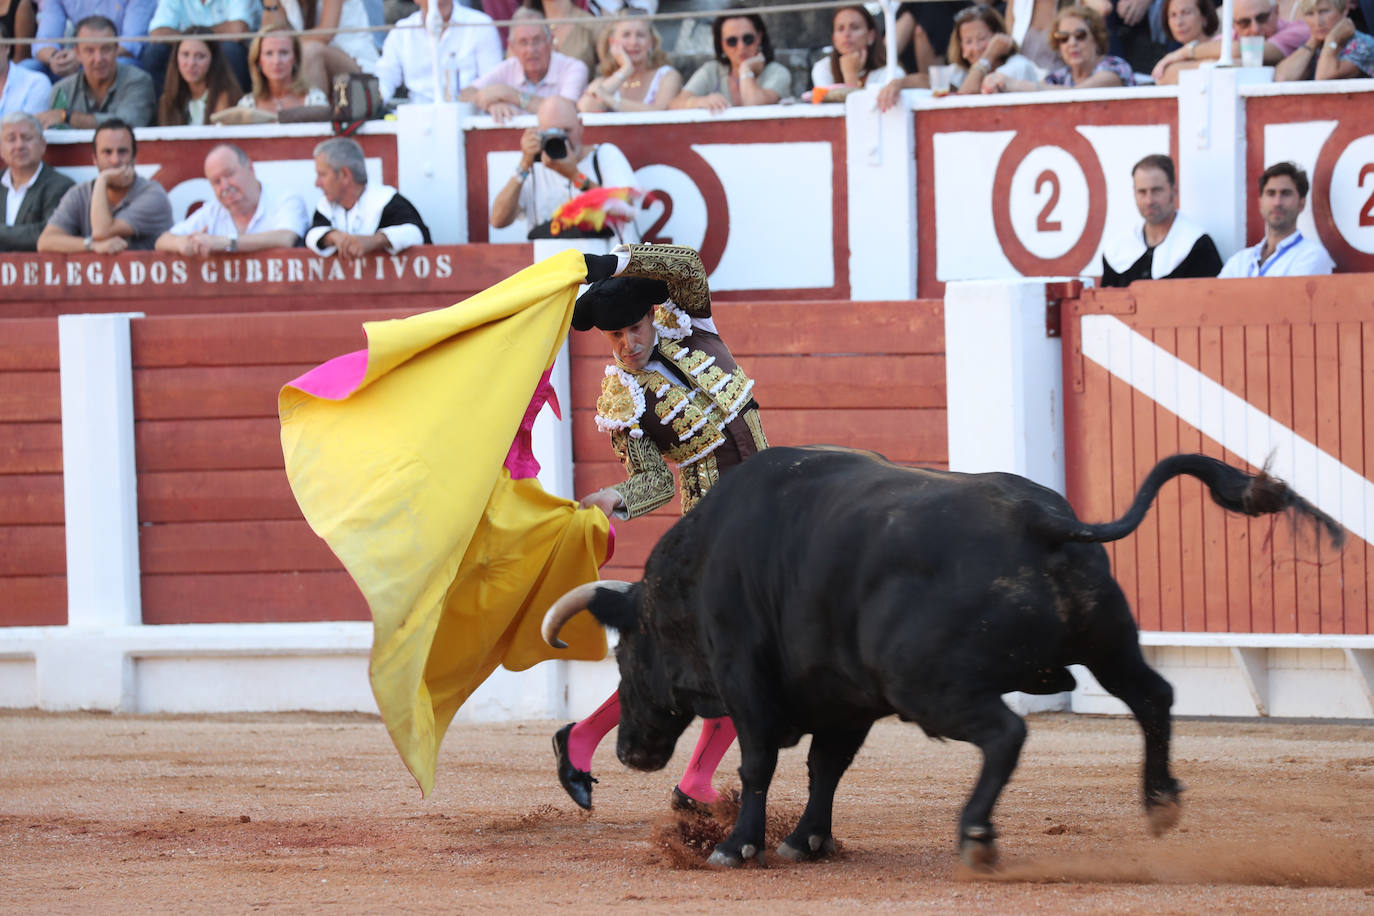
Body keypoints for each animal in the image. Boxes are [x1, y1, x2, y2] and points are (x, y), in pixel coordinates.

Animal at [538, 447, 1341, 873]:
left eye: (625, 657)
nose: (631, 751)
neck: (698, 570)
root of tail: (1043, 520)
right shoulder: (846, 700)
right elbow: (825, 768)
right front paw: (806, 841)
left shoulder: (749, 683)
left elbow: (760, 763)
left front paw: (737, 847)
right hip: (1106, 641)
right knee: (1153, 697)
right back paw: (1161, 800)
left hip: (929, 686)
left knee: (1007, 734)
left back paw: (977, 835)